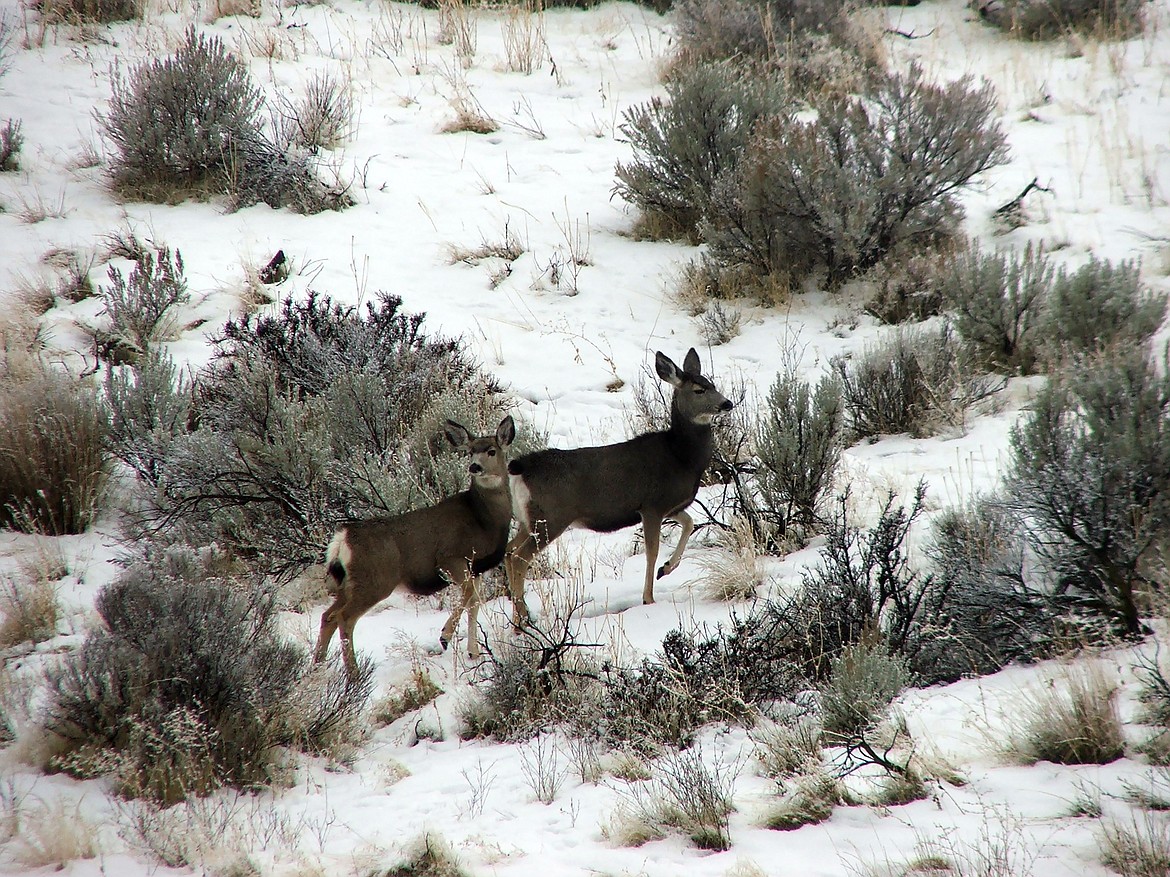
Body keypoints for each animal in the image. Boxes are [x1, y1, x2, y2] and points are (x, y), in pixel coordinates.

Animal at [313, 416, 514, 673]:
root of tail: (343, 538)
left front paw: (473, 652)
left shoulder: (476, 567)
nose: (475, 467)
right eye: (470, 451)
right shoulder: (450, 557)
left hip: (347, 584)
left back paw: (317, 667)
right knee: (344, 618)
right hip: (374, 581)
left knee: (327, 616)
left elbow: (474, 603)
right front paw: (445, 636)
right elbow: (469, 594)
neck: (483, 519)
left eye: (491, 450)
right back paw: (354, 674)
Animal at [503, 348, 730, 626]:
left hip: (528, 520)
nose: (727, 404)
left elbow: (688, 524)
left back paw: (519, 616)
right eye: (699, 390)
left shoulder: (670, 506)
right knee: (519, 558)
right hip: (551, 518)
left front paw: (666, 569)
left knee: (509, 551)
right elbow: (652, 551)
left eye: (713, 384)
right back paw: (523, 619)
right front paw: (648, 598)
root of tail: (520, 467)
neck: (680, 456)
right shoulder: (651, 505)